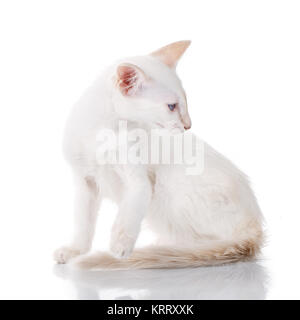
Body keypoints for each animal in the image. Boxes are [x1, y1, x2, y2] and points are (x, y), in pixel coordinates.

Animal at [54, 40, 264, 270]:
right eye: (171, 106)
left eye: (185, 102)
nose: (188, 125)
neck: (103, 132)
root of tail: (254, 225)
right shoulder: (85, 182)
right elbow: (83, 223)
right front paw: (75, 251)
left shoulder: (139, 182)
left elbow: (128, 214)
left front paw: (120, 244)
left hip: (169, 183)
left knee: (207, 242)